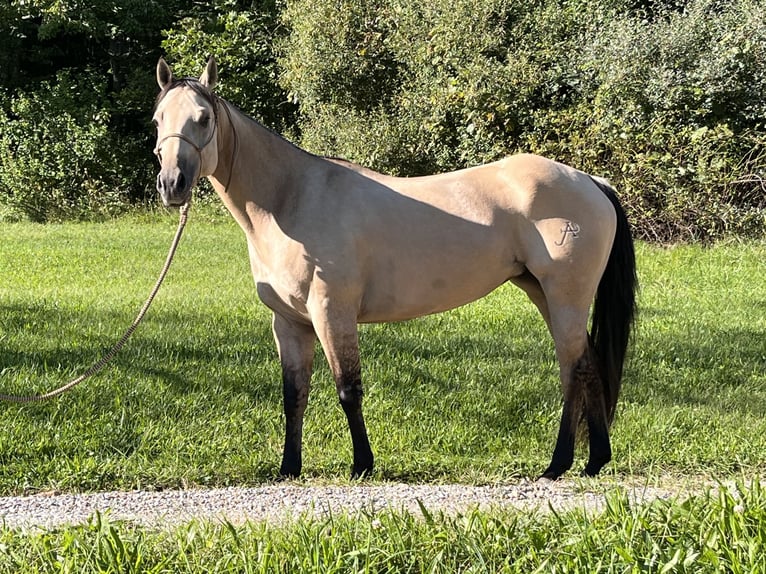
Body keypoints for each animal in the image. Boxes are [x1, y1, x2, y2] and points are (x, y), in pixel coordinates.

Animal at [152, 57, 637, 480]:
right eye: (158, 120)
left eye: (203, 119)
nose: (172, 185)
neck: (290, 199)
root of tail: (590, 181)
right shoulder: (290, 322)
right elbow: (294, 395)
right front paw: (289, 468)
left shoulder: (332, 312)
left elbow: (347, 388)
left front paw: (362, 465)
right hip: (543, 293)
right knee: (590, 363)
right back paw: (595, 461)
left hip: (564, 296)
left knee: (572, 369)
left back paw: (557, 465)